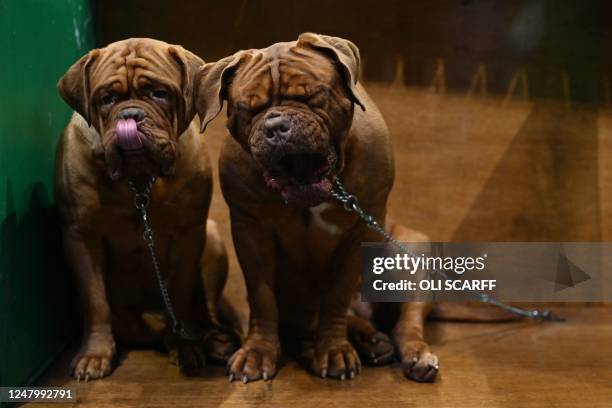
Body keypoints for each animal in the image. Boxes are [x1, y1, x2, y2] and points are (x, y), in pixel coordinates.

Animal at [56, 38, 239, 380]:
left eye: (160, 93)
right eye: (107, 98)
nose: (130, 114)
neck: (139, 181)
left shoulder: (189, 233)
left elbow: (181, 292)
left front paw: (187, 346)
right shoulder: (80, 235)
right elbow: (96, 301)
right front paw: (95, 353)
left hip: (212, 240)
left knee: (203, 309)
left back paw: (210, 339)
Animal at [195, 33, 436, 380]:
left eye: (310, 96)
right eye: (249, 108)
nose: (276, 126)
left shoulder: (360, 230)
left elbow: (337, 295)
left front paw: (333, 351)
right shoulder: (251, 232)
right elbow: (262, 299)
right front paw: (257, 353)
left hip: (411, 253)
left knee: (407, 321)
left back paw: (415, 354)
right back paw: (371, 340)